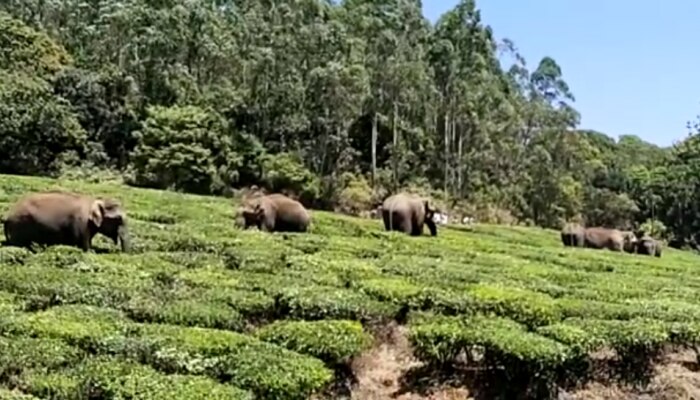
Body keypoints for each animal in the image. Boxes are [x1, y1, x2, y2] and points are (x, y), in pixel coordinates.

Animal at [2, 190, 131, 252]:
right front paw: (90, 251)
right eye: (119, 219)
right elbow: (84, 246)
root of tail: (7, 216)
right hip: (19, 226)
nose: (118, 252)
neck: (95, 201)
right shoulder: (81, 224)